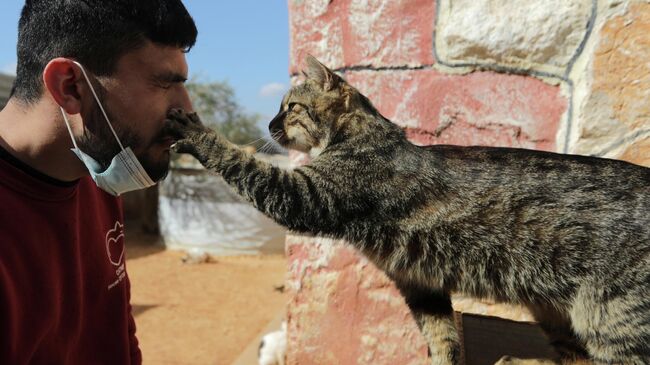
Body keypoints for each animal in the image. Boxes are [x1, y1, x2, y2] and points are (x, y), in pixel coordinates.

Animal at [163, 55, 648, 362]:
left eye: (291, 107)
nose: (267, 124)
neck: (359, 136)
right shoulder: (420, 284)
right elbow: (443, 340)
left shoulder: (304, 196)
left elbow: (242, 164)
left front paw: (199, 133)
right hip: (560, 315)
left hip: (615, 321)